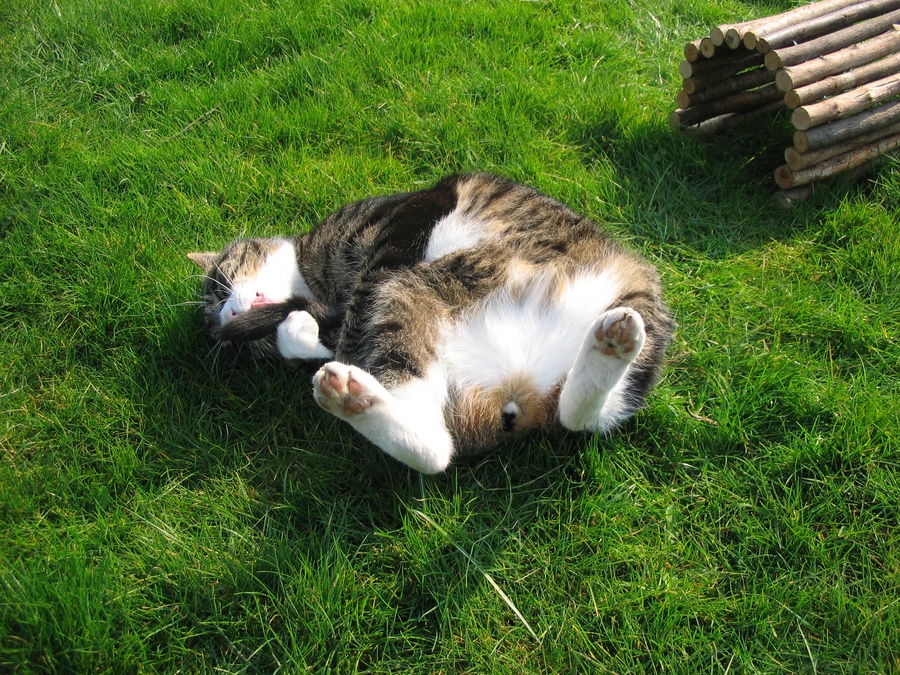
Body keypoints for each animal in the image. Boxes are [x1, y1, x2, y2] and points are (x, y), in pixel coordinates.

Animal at [190, 173, 672, 476]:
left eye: (219, 284)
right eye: (233, 345)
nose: (227, 317)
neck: (318, 282)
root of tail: (520, 397)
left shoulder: (399, 233)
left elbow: (351, 319)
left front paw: (306, 329)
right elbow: (316, 334)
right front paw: (297, 331)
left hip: (637, 294)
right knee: (570, 418)